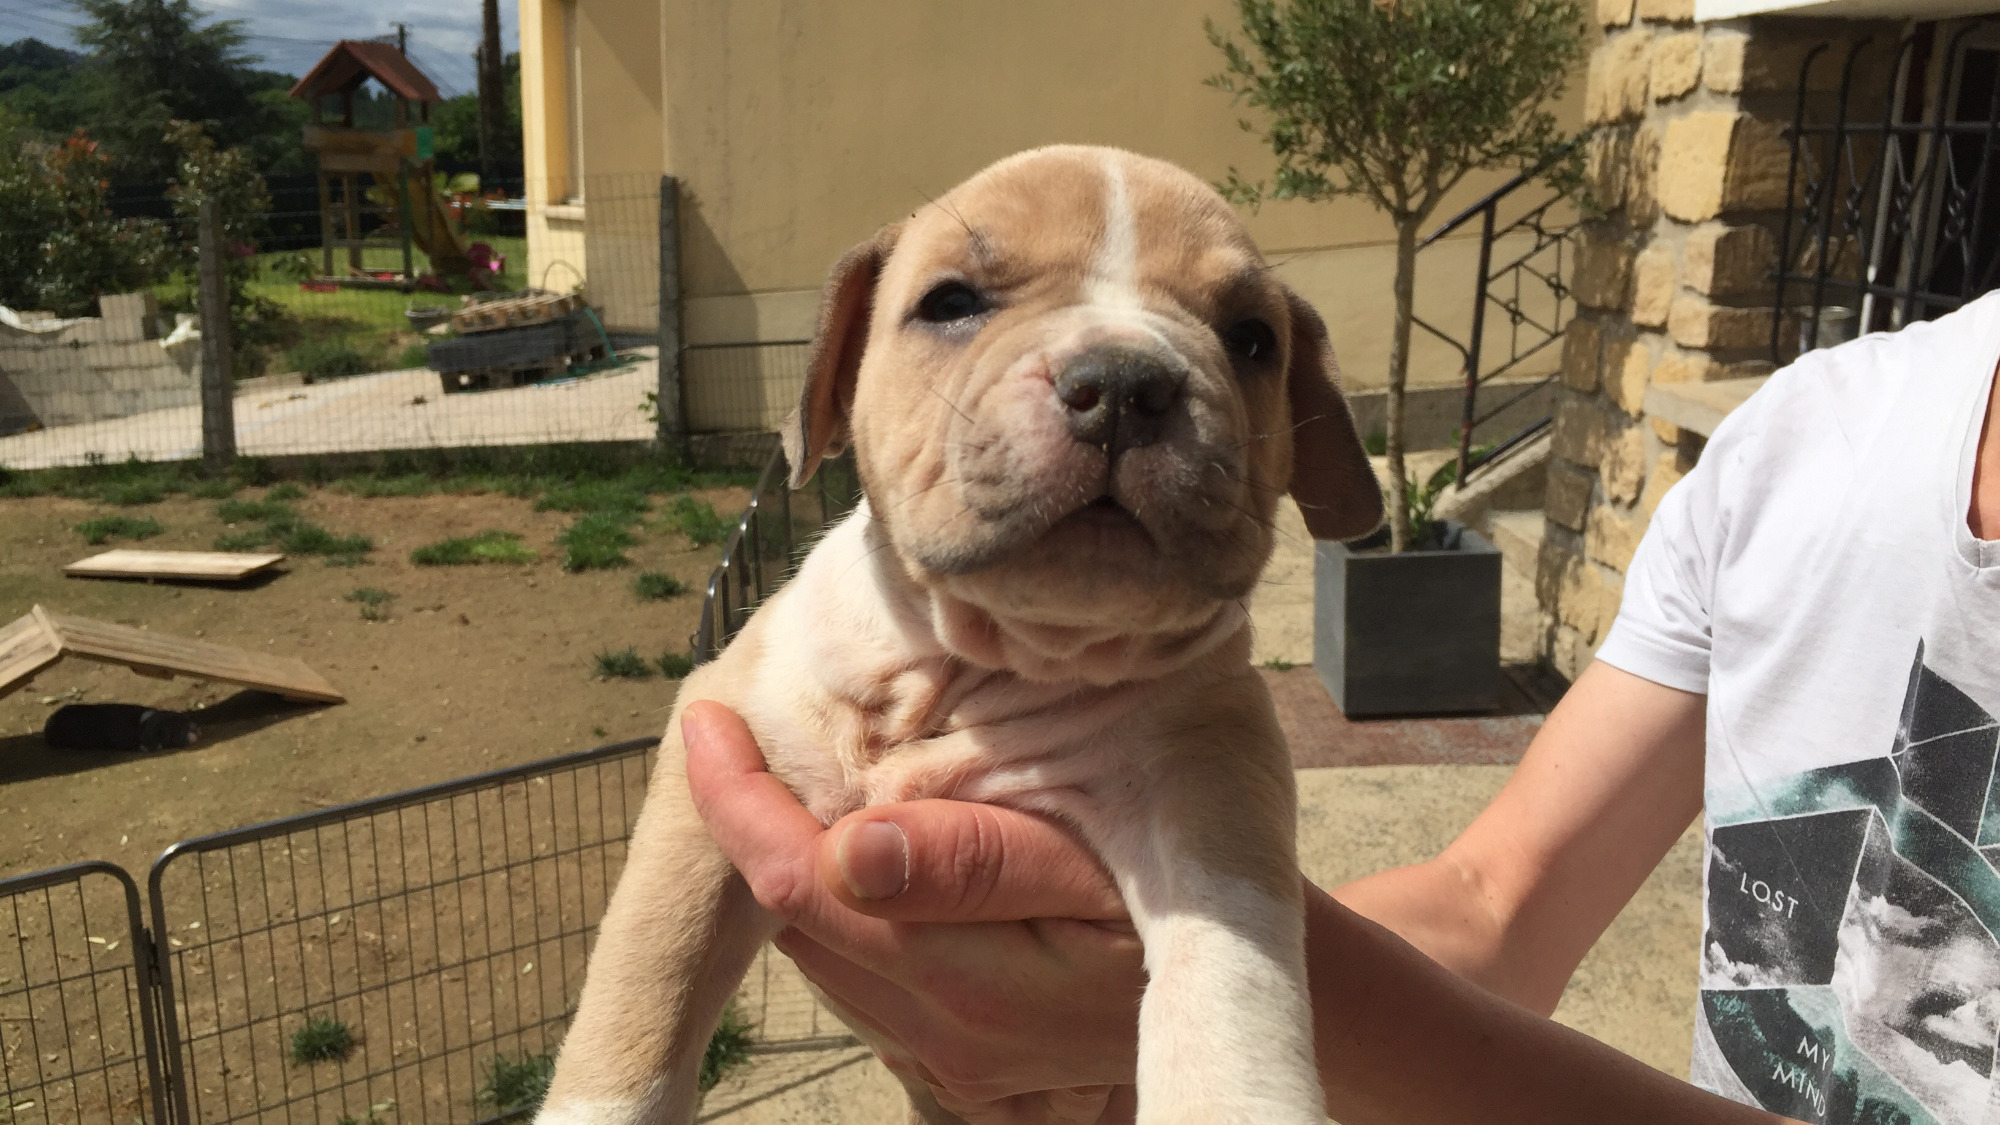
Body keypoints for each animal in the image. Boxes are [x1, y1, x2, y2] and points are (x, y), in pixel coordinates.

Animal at [540, 147, 1384, 1120]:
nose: (1124, 384)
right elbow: (646, 985)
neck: (970, 668)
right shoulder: (708, 765)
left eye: (1251, 338)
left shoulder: (1209, 774)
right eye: (949, 302)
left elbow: (1230, 981)